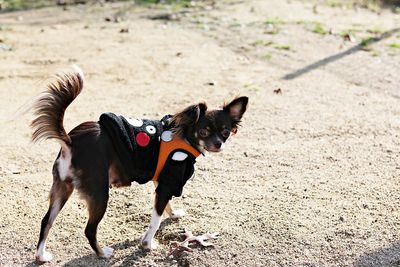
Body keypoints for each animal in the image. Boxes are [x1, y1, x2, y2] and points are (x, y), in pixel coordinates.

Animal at [30, 66, 247, 262]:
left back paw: (41, 256)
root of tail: (70, 142)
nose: (218, 143)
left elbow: (165, 206)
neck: (185, 134)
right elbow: (155, 221)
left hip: (62, 187)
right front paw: (147, 244)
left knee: (46, 221)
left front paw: (173, 214)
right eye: (204, 131)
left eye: (225, 132)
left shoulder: (162, 181)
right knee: (89, 230)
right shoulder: (168, 182)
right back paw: (102, 253)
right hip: (99, 193)